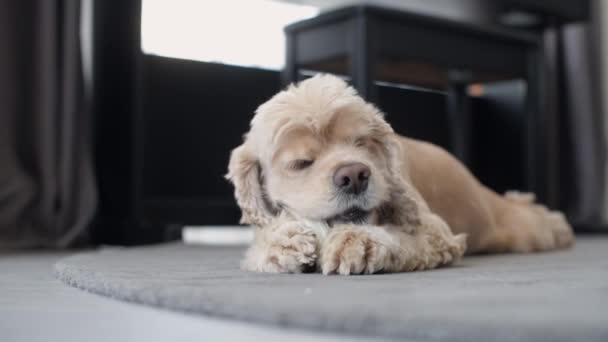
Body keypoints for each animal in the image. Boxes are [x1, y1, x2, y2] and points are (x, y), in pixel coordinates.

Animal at [226, 75, 572, 276]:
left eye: (361, 143)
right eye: (301, 162)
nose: (355, 175)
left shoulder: (435, 232)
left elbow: (401, 237)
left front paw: (358, 240)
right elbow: (263, 242)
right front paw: (281, 243)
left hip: (520, 228)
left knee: (539, 218)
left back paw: (561, 229)